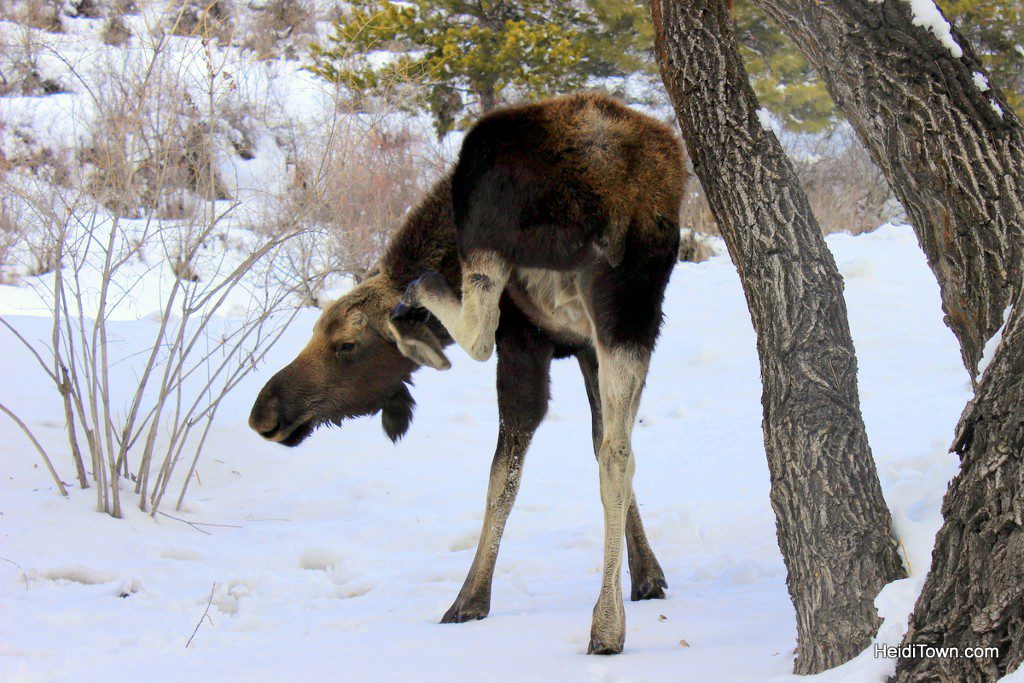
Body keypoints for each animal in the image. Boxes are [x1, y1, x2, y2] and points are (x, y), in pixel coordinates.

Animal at [247, 93, 684, 655]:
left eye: (346, 345)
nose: (265, 412)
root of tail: (616, 189)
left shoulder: (524, 337)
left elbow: (503, 474)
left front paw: (470, 598)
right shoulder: (588, 345)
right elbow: (599, 444)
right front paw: (648, 575)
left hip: (490, 214)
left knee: (476, 332)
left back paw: (420, 296)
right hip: (631, 307)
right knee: (618, 451)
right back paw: (609, 624)